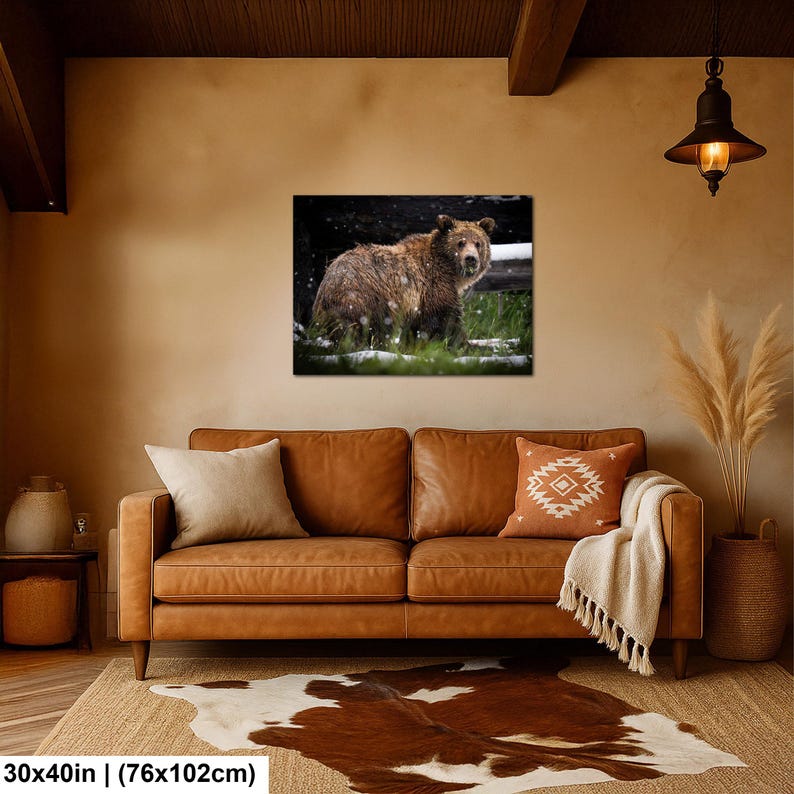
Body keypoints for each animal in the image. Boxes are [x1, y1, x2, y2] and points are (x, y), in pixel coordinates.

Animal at [311, 214, 495, 348]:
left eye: (478, 243)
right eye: (460, 243)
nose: (471, 259)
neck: (450, 270)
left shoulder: (417, 302)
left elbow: (417, 329)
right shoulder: (434, 286)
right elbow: (447, 320)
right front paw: (463, 344)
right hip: (366, 296)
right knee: (370, 328)